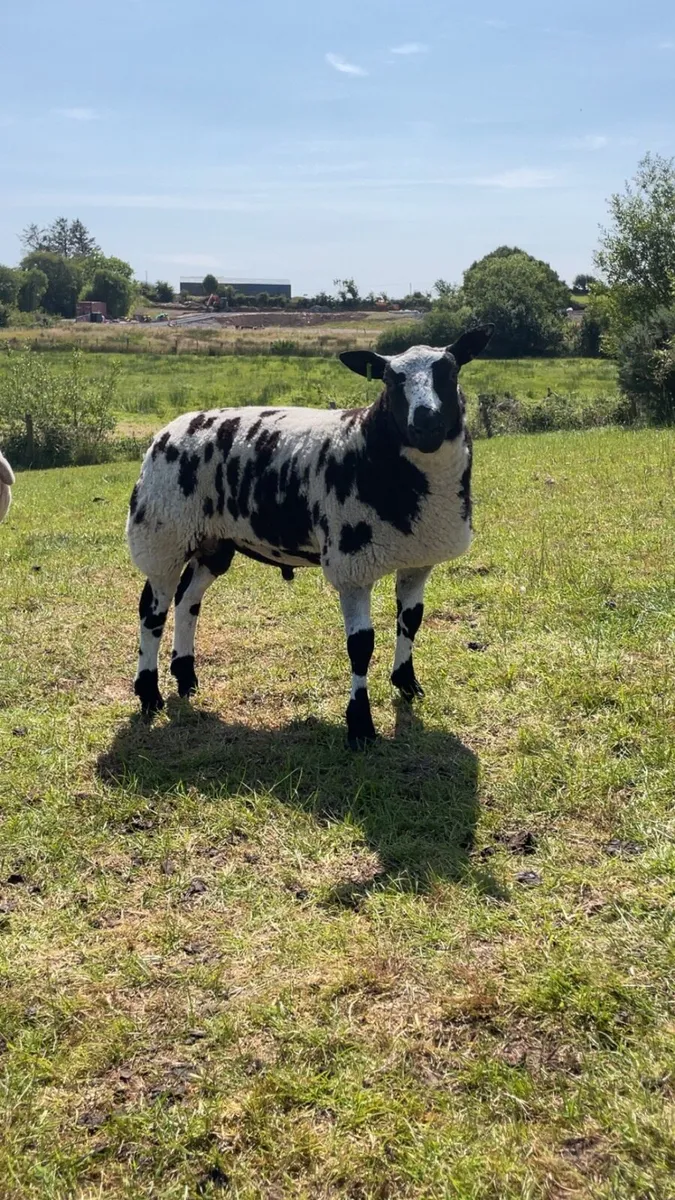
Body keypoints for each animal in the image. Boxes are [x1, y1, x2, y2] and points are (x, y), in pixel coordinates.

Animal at [126, 324, 494, 746]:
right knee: (152, 611)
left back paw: (186, 678)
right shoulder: (352, 567)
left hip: (212, 542)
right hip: (162, 535)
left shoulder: (419, 558)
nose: (426, 425)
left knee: (188, 601)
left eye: (450, 372)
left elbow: (410, 620)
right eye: (390, 379)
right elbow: (360, 646)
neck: (370, 448)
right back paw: (149, 694)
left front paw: (407, 684)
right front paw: (360, 725)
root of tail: (167, 431)